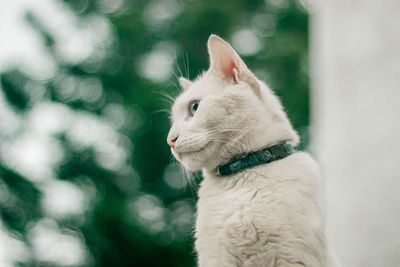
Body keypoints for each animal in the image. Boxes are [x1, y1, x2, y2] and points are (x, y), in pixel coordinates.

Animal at [167, 35, 340, 267]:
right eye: (172, 120)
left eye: (194, 107)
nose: (170, 140)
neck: (243, 172)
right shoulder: (217, 260)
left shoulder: (293, 258)